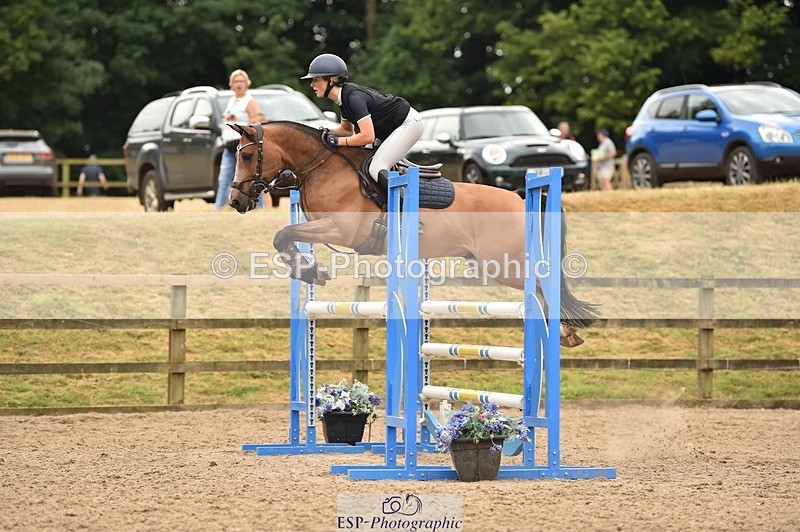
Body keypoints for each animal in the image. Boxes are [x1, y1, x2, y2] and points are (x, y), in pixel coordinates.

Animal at [227, 121, 596, 346]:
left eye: (247, 154)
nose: (235, 201)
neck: (324, 168)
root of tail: (520, 196)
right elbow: (285, 237)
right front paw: (310, 271)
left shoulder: (342, 230)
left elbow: (283, 234)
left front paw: (311, 271)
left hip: (503, 264)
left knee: (543, 286)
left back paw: (565, 332)